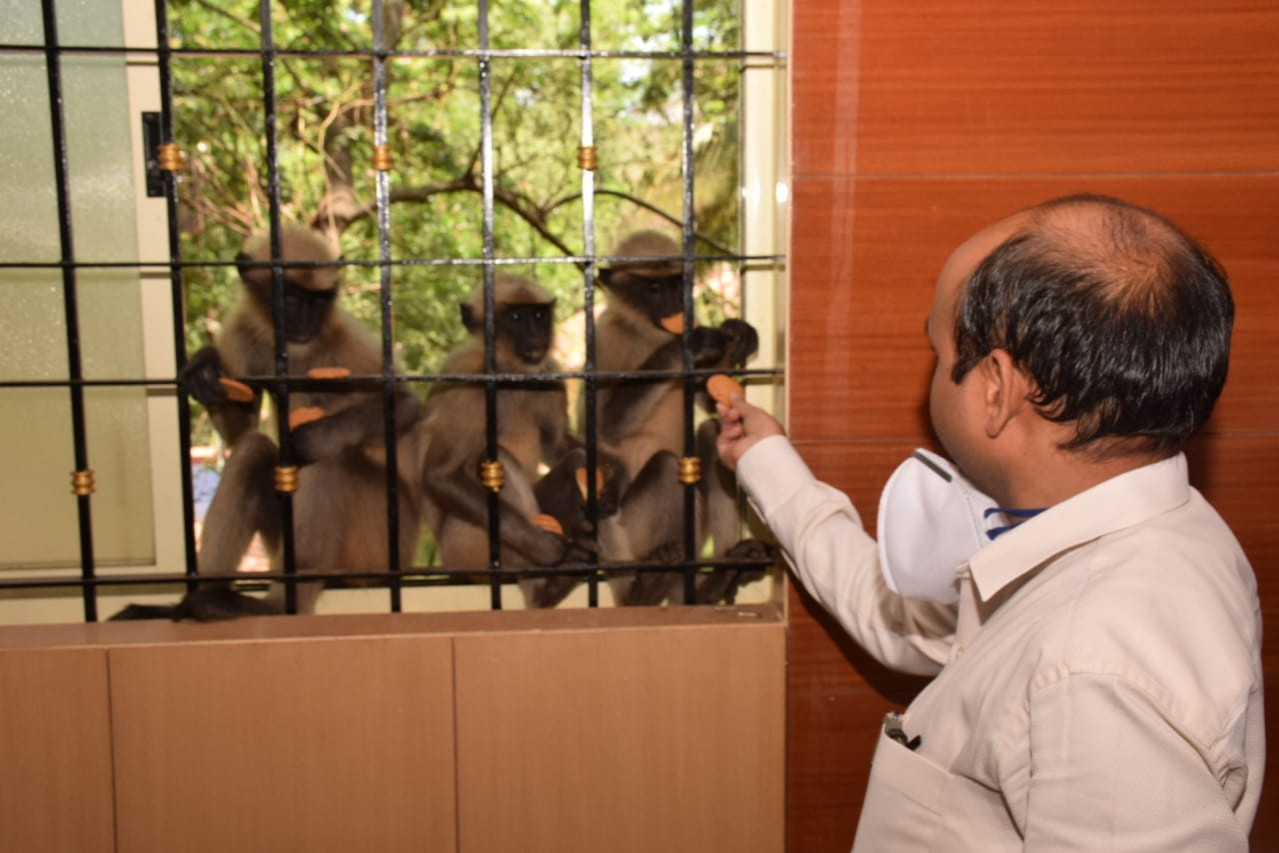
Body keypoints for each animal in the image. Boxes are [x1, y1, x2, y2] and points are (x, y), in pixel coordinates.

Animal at [109, 222, 419, 621]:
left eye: (317, 301)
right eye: (291, 298)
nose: (305, 320)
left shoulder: (345, 334)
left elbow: (405, 403)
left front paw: (312, 438)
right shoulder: (241, 336)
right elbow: (240, 431)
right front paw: (203, 370)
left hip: (376, 544)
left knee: (329, 460)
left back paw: (275, 605)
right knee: (253, 450)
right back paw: (197, 604)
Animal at [593, 230, 772, 606]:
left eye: (677, 285)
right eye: (654, 289)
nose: (675, 305)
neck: (648, 334)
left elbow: (711, 399)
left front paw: (735, 337)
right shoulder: (606, 339)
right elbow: (605, 428)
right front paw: (684, 348)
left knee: (709, 434)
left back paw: (719, 580)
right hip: (632, 538)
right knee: (661, 467)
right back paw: (642, 591)